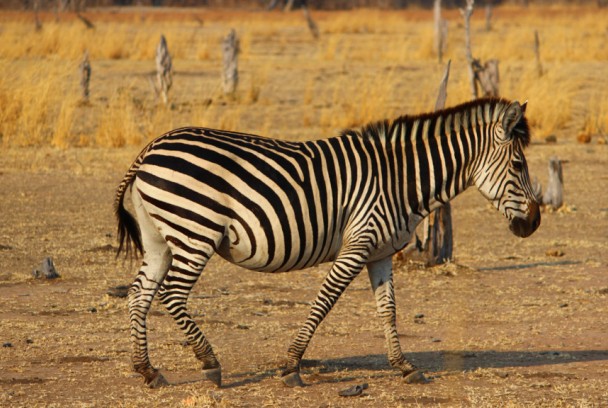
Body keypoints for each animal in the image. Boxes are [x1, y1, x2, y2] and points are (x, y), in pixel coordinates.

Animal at [115, 96, 540, 388]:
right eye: (519, 165)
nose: (534, 223)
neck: (399, 180)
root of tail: (149, 149)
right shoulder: (358, 242)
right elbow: (324, 302)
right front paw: (291, 366)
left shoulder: (381, 252)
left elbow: (389, 310)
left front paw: (404, 366)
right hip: (195, 230)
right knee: (172, 293)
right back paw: (210, 363)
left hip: (159, 239)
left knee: (139, 294)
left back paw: (147, 370)